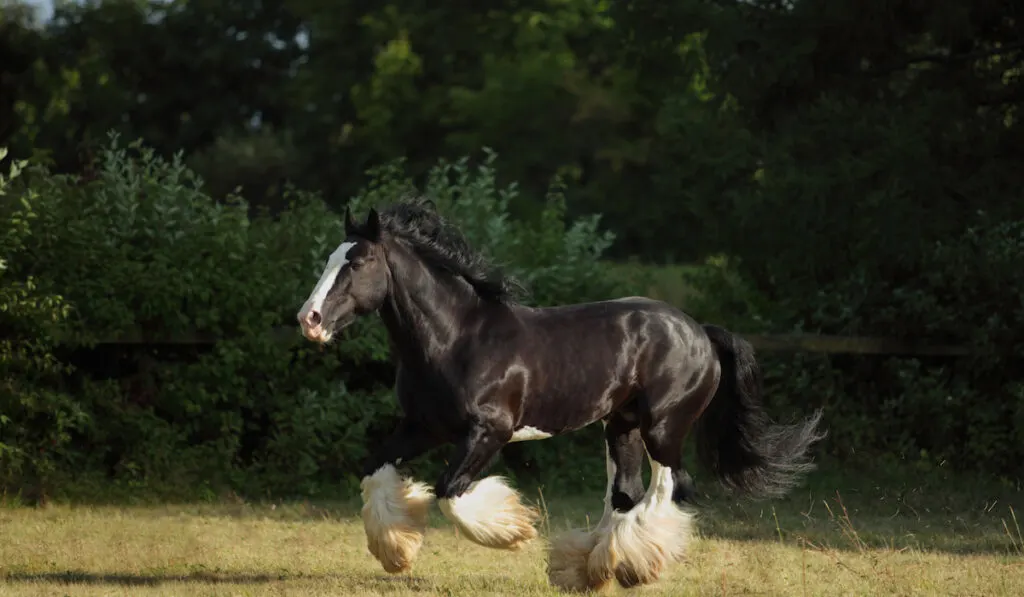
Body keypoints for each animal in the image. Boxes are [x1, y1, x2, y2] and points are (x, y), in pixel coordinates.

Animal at [296, 198, 823, 589]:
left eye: (359, 262)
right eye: (329, 259)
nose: (310, 319)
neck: (456, 338)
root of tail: (700, 332)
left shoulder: (489, 432)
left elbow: (450, 491)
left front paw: (514, 531)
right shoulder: (422, 428)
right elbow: (374, 470)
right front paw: (397, 553)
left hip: (663, 427)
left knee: (670, 487)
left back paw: (633, 567)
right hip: (621, 426)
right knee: (625, 493)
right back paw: (592, 569)